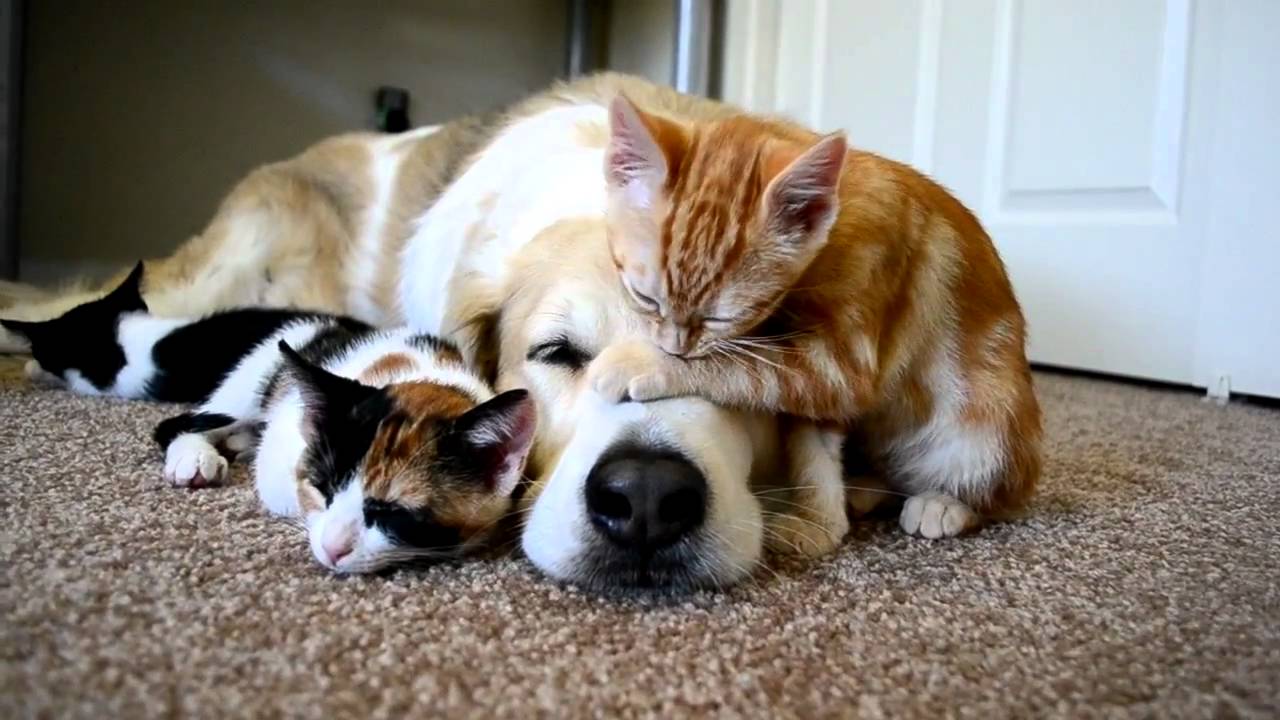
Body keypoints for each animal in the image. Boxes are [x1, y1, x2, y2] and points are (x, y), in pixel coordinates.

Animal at [1, 263, 535, 571]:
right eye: (322, 488)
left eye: (391, 514)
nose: (333, 549)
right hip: (252, 373)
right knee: (182, 421)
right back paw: (197, 456)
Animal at [586, 96, 1039, 538]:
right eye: (646, 298)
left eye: (722, 317)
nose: (675, 347)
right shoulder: (821, 384)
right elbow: (812, 442)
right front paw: (818, 522)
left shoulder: (844, 366)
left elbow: (746, 366)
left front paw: (643, 361)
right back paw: (864, 489)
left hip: (987, 427)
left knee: (1000, 495)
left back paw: (945, 504)